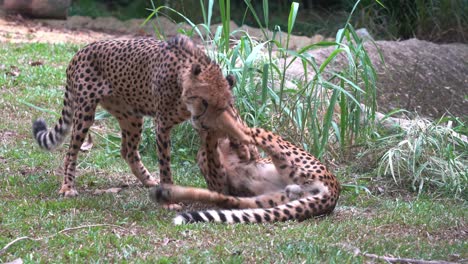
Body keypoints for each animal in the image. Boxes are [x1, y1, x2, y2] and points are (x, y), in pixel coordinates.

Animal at [31, 36, 241, 198]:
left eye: (224, 106)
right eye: (204, 101)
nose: (205, 124)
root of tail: (81, 50)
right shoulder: (162, 124)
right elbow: (165, 163)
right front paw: (170, 196)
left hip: (131, 115)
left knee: (128, 151)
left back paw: (148, 180)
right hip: (85, 112)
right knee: (71, 151)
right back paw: (67, 187)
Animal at [152, 75, 338, 224]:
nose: (198, 116)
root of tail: (333, 193)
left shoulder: (247, 152)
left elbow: (237, 138)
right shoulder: (219, 183)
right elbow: (212, 153)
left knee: (250, 132)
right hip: (263, 201)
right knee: (227, 201)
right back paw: (167, 193)